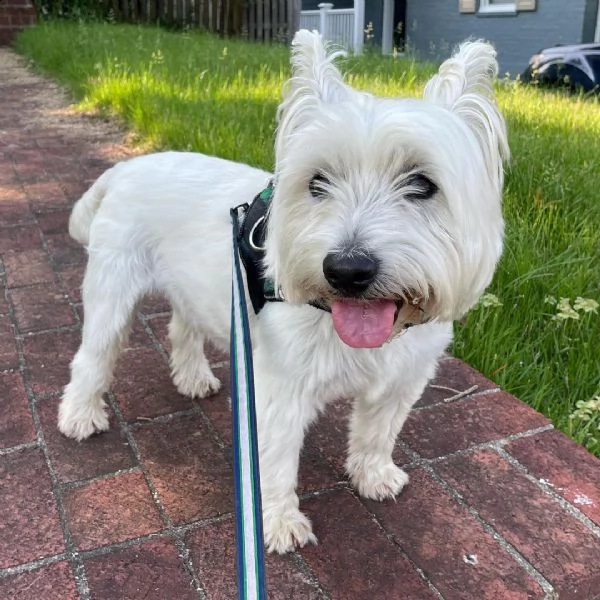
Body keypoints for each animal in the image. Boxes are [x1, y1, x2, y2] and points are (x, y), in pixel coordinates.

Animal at [57, 29, 506, 552]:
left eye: (422, 183)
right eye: (317, 182)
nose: (347, 269)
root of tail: (127, 168)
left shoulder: (402, 380)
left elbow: (377, 433)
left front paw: (374, 476)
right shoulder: (279, 390)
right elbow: (273, 463)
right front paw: (278, 523)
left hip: (195, 286)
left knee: (182, 327)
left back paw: (192, 377)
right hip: (112, 288)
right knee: (93, 354)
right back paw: (80, 416)